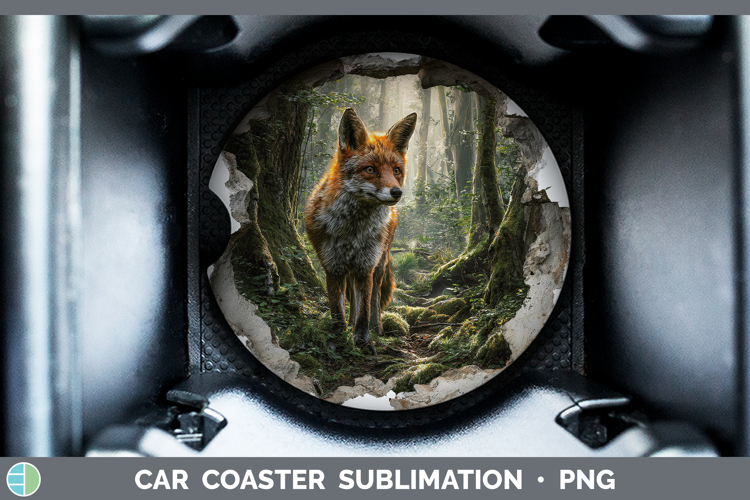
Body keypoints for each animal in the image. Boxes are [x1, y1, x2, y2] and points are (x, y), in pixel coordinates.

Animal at [304, 108, 417, 346]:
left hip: (379, 263)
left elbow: (364, 308)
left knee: (373, 298)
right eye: (370, 169)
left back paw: (377, 328)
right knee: (353, 299)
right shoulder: (333, 265)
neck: (354, 231)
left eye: (396, 171)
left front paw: (363, 341)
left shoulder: (366, 265)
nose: (397, 192)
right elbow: (337, 309)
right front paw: (340, 338)